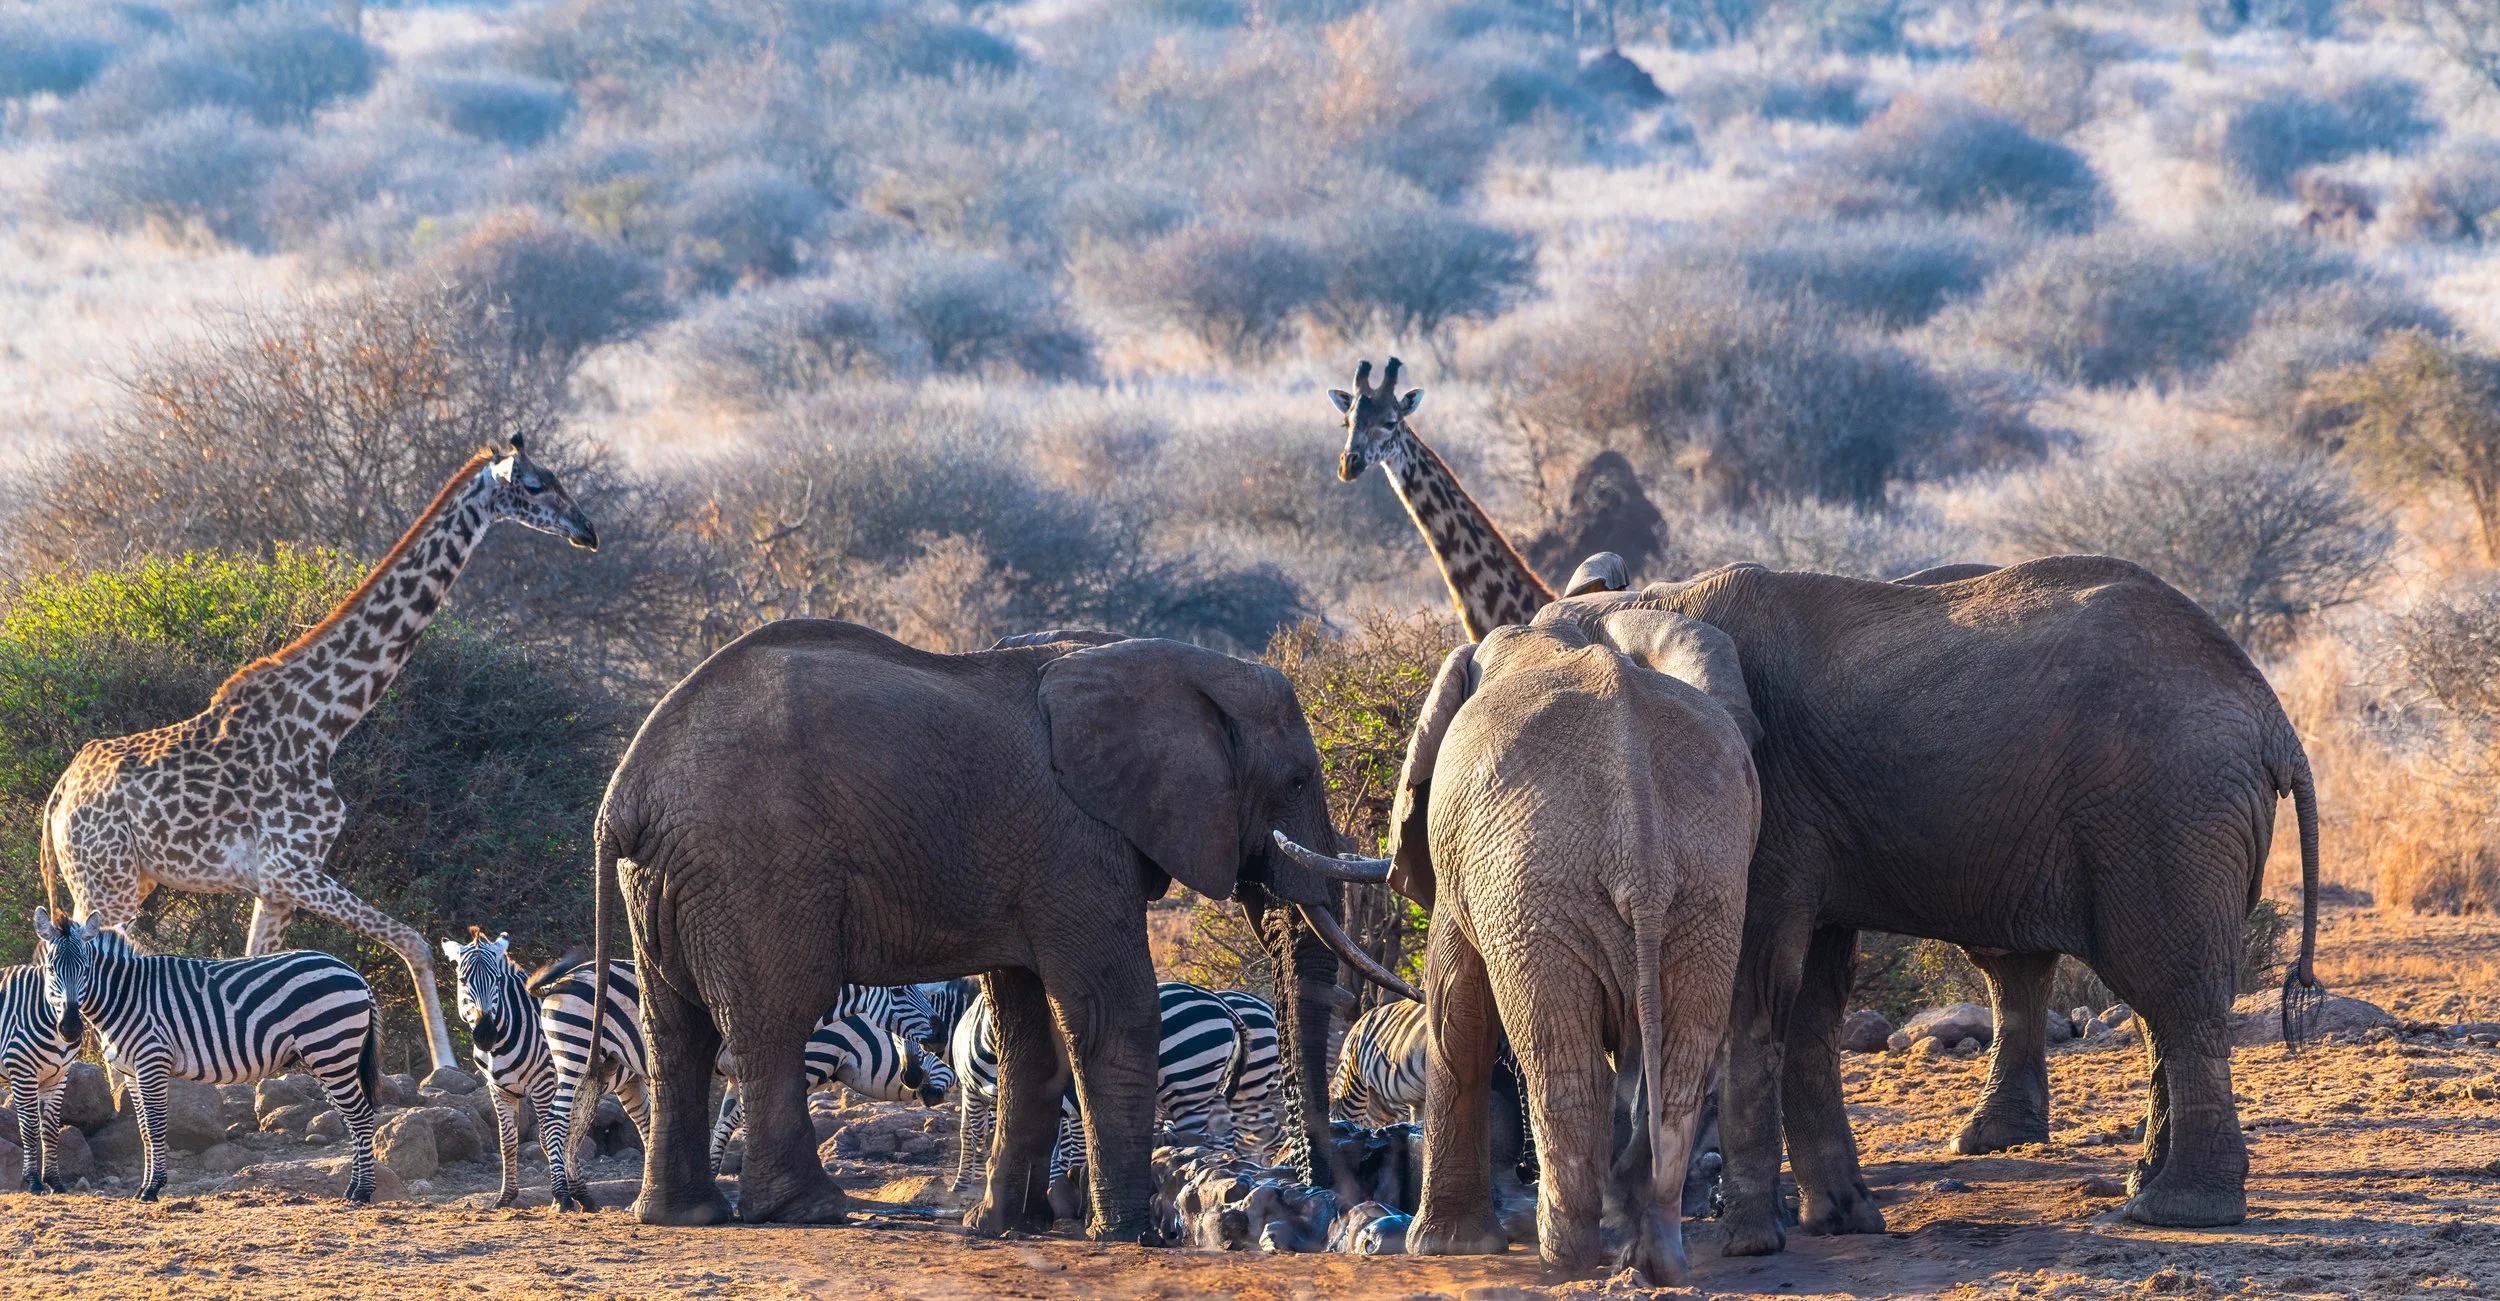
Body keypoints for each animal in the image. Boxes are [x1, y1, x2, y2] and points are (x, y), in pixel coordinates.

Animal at [0, 963, 81, 1193]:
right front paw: (34, 1181)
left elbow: (51, 1128)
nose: (70, 1027)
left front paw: (55, 1181)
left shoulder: (58, 1077)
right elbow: (29, 1127)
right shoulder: (22, 1072)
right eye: (52, 970)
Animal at [32, 910, 380, 1202]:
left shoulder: (152, 1060)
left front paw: (153, 1188)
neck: (124, 997)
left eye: (86, 970)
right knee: (351, 1118)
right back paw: (352, 1188)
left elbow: (156, 1126)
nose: (69, 1028)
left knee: (361, 1116)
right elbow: (143, 1130)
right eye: (50, 970)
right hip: (324, 1057)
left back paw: (363, 1192)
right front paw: (143, 1187)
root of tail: (353, 973)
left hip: (332, 1050)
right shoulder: (131, 1072)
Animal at [37, 436, 598, 1072]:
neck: (324, 723)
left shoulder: (276, 884)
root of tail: (59, 795)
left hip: (131, 879)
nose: (587, 530)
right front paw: (446, 1065)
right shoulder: (293, 867)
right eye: (534, 484)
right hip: (103, 881)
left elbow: (253, 971)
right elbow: (414, 940)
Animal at [1530, 557, 2323, 1252]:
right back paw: (2138, 1186)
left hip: (2167, 811)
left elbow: (1755, 983)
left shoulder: (1763, 794)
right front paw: (1839, 1220)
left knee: (2173, 989)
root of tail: (2272, 717)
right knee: (2152, 998)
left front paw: (1749, 1242)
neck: (1647, 603)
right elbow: (1811, 992)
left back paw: (2174, 1211)